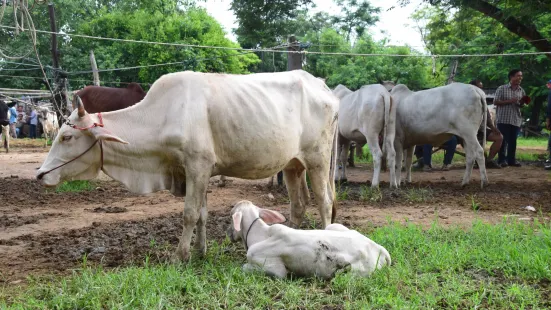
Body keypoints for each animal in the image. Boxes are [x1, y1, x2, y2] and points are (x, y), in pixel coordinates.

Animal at [35, 70, 340, 262]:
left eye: (67, 136)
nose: (40, 174)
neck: (162, 115)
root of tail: (322, 86)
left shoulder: (197, 166)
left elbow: (190, 214)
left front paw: (180, 256)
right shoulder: (199, 172)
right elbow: (202, 214)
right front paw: (201, 252)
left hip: (318, 159)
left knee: (324, 201)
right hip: (292, 165)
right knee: (298, 204)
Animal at [226, 200, 390, 280]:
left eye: (231, 216)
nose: (229, 233)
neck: (261, 234)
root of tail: (378, 248)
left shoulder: (276, 270)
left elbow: (245, 267)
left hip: (350, 272)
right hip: (333, 226)